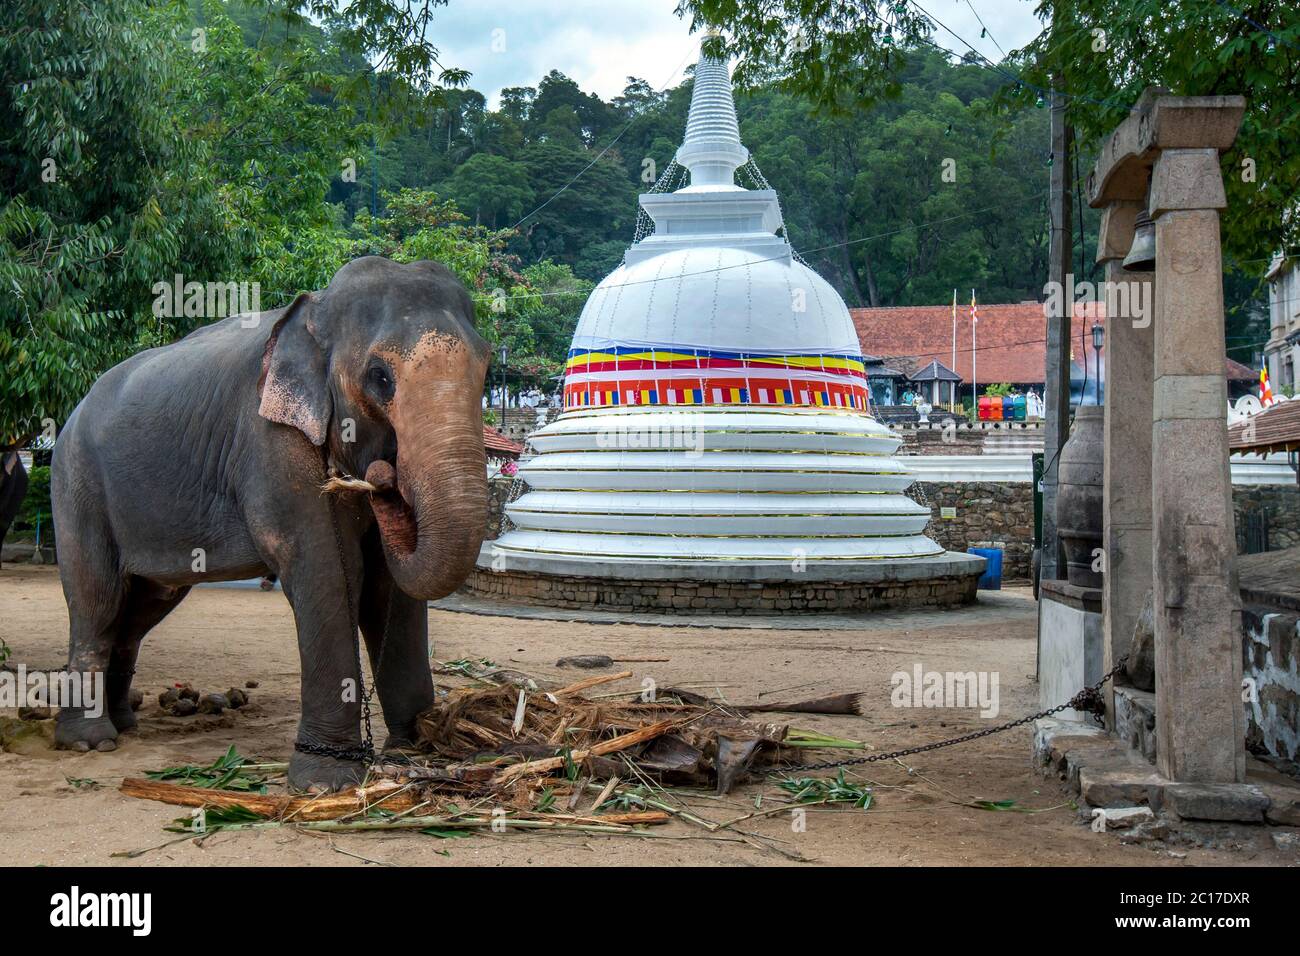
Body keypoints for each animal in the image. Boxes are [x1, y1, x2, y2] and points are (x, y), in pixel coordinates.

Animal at [50, 257, 490, 790]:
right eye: (380, 377)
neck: (315, 314)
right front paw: (324, 782)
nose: (384, 478)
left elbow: (390, 590)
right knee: (98, 598)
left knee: (141, 609)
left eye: (487, 367)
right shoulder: (273, 446)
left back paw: (124, 726)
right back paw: (90, 742)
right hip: (76, 484)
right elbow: (328, 573)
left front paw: (415, 752)